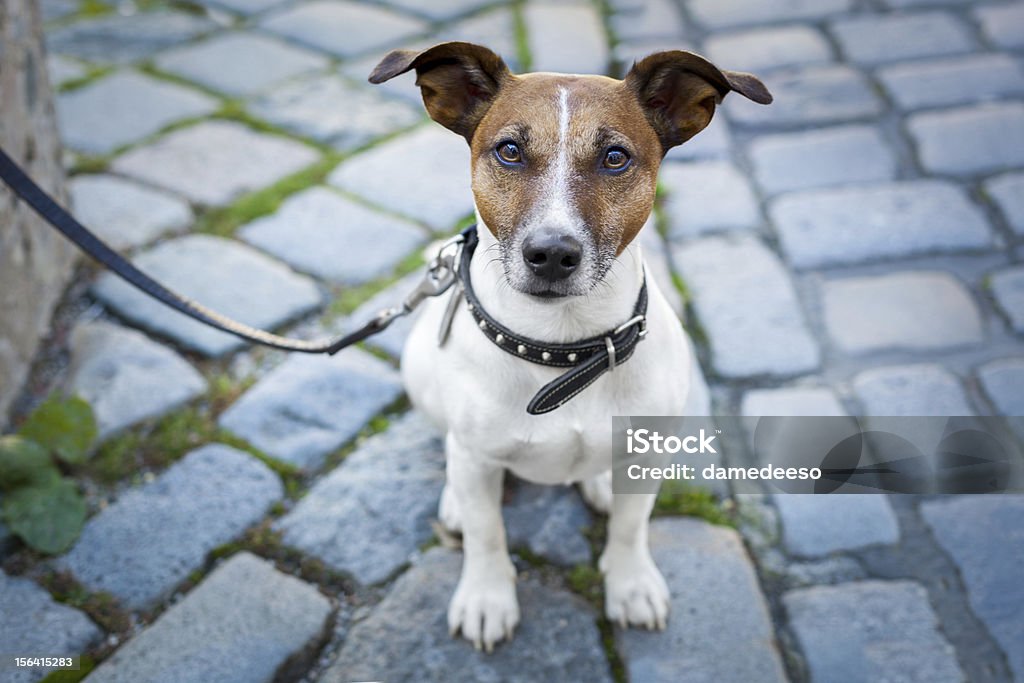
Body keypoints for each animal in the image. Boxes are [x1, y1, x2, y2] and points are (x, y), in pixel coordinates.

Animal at [368, 42, 770, 651]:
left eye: (615, 157)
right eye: (509, 151)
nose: (552, 253)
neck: (564, 351)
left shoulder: (649, 451)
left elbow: (630, 529)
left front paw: (630, 585)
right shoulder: (478, 459)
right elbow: (487, 535)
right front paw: (486, 598)